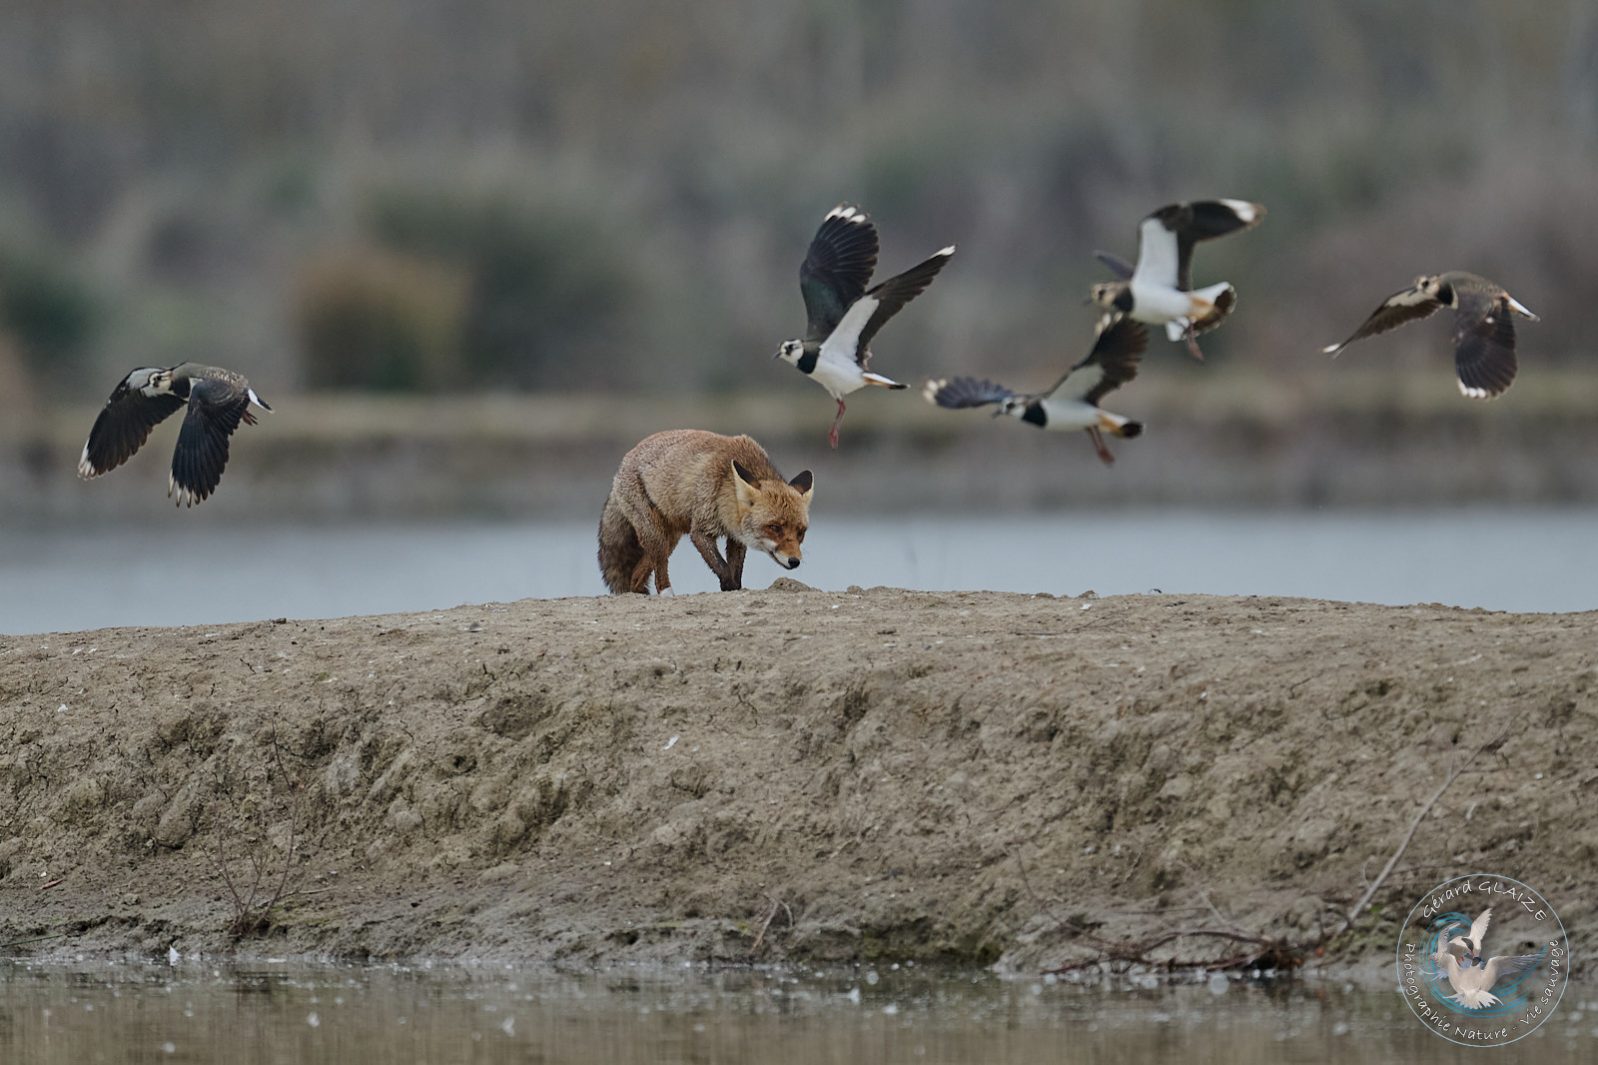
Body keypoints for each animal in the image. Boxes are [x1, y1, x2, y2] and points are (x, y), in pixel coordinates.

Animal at [604, 431, 818, 598]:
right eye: (775, 527)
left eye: (801, 532)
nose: (795, 561)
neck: (725, 487)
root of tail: (624, 461)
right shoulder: (701, 530)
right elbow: (722, 568)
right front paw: (727, 585)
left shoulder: (736, 537)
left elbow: (735, 570)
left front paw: (733, 588)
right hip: (656, 536)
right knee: (658, 571)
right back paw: (666, 593)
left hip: (668, 540)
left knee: (636, 576)